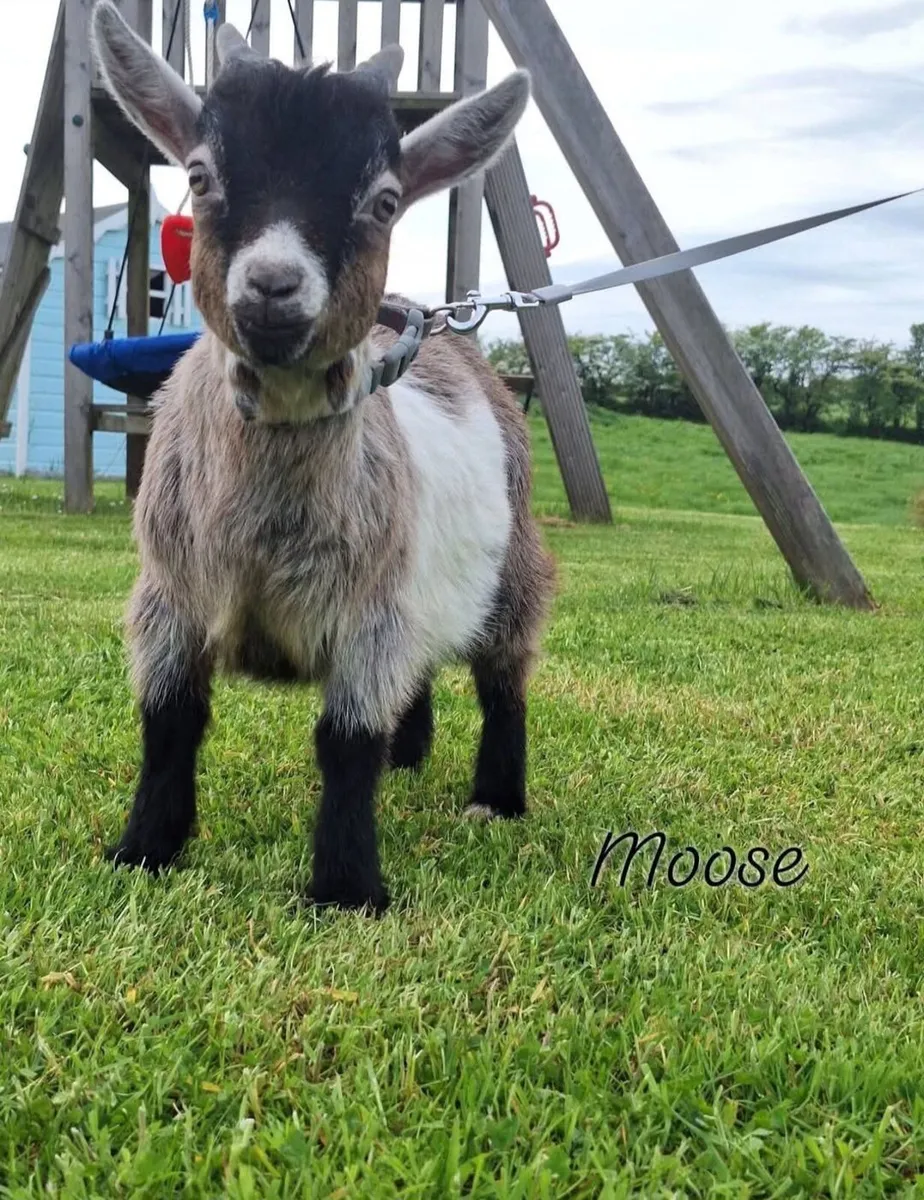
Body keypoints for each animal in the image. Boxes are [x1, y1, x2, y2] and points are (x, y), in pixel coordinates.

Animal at [91, 1, 555, 913]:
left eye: (384, 201)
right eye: (200, 176)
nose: (273, 286)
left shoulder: (369, 612)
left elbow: (345, 743)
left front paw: (346, 888)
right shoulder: (169, 596)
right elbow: (167, 724)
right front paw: (145, 849)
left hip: (513, 568)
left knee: (503, 678)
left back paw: (496, 797)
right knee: (422, 671)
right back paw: (410, 759)